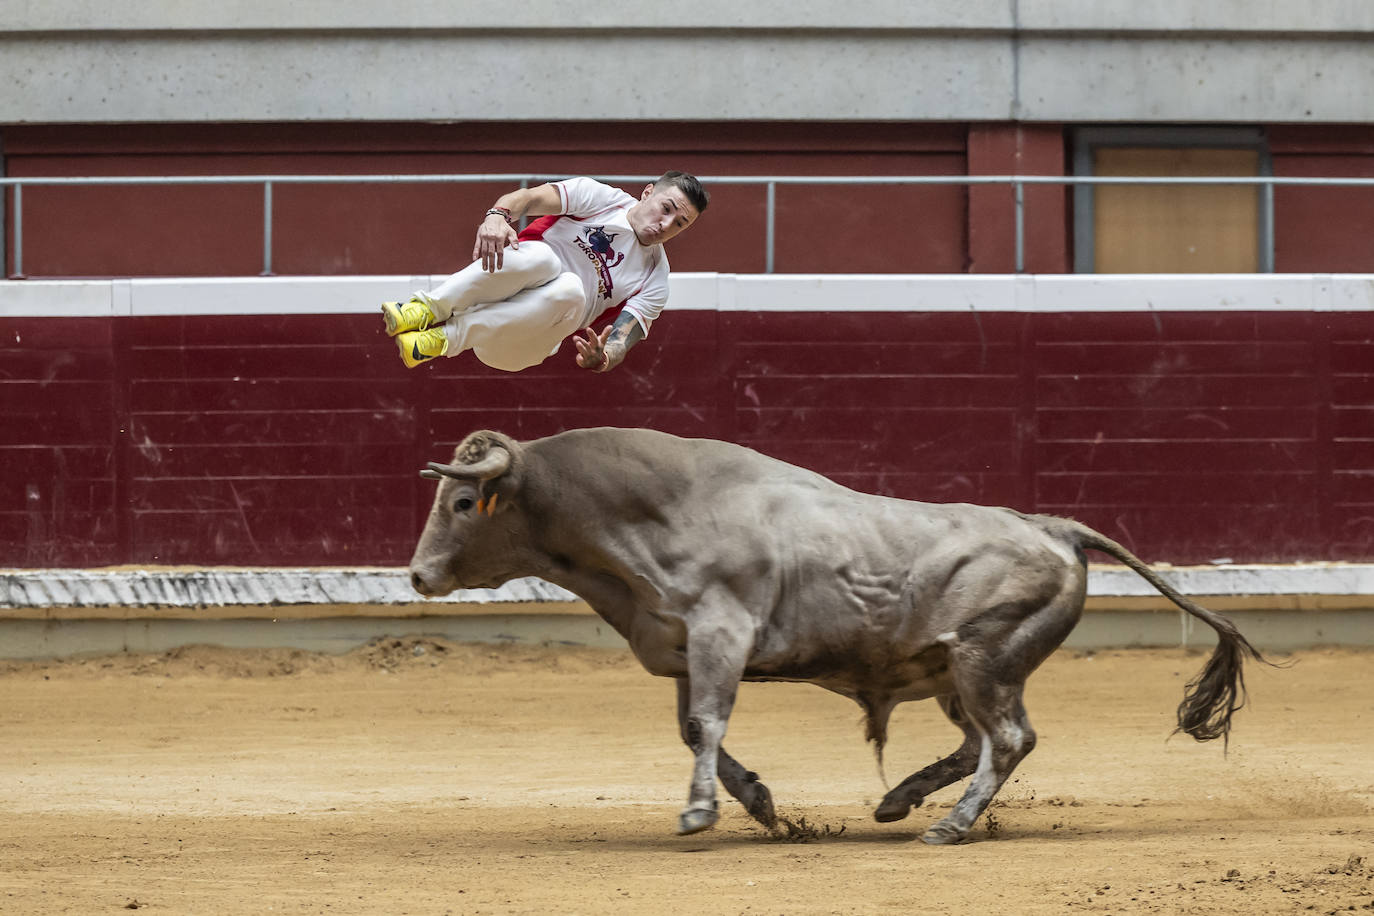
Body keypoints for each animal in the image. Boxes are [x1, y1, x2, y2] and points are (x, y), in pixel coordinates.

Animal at [406, 428, 1264, 845]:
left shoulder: (722, 634)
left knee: (1009, 740)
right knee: (978, 743)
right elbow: (696, 729)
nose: (417, 575)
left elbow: (708, 724)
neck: (656, 510)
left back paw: (948, 826)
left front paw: (699, 814)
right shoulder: (684, 647)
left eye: (462, 504)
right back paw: (897, 800)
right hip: (955, 672)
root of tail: (1052, 525)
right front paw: (758, 805)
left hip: (984, 657)